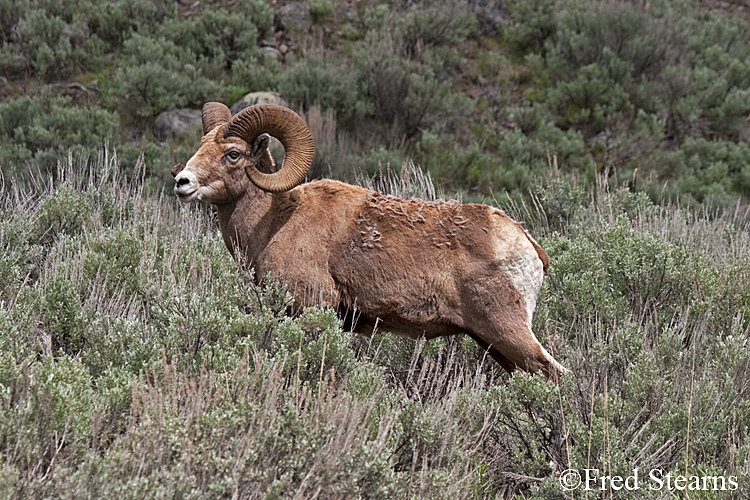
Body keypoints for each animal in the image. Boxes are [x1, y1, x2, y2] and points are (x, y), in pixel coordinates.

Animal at [173, 103, 568, 380]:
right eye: (201, 146)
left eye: (233, 154)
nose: (182, 182)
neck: (274, 221)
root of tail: (526, 244)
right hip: (493, 343)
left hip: (507, 332)